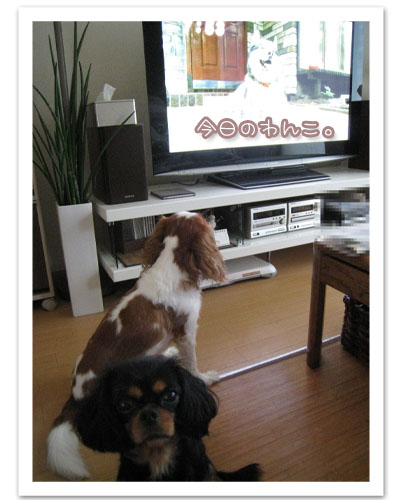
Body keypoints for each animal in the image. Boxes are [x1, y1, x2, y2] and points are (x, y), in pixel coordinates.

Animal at [47, 211, 226, 480]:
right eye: (204, 218)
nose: (215, 215)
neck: (172, 264)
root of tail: (74, 395)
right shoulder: (186, 332)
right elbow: (192, 364)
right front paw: (204, 379)